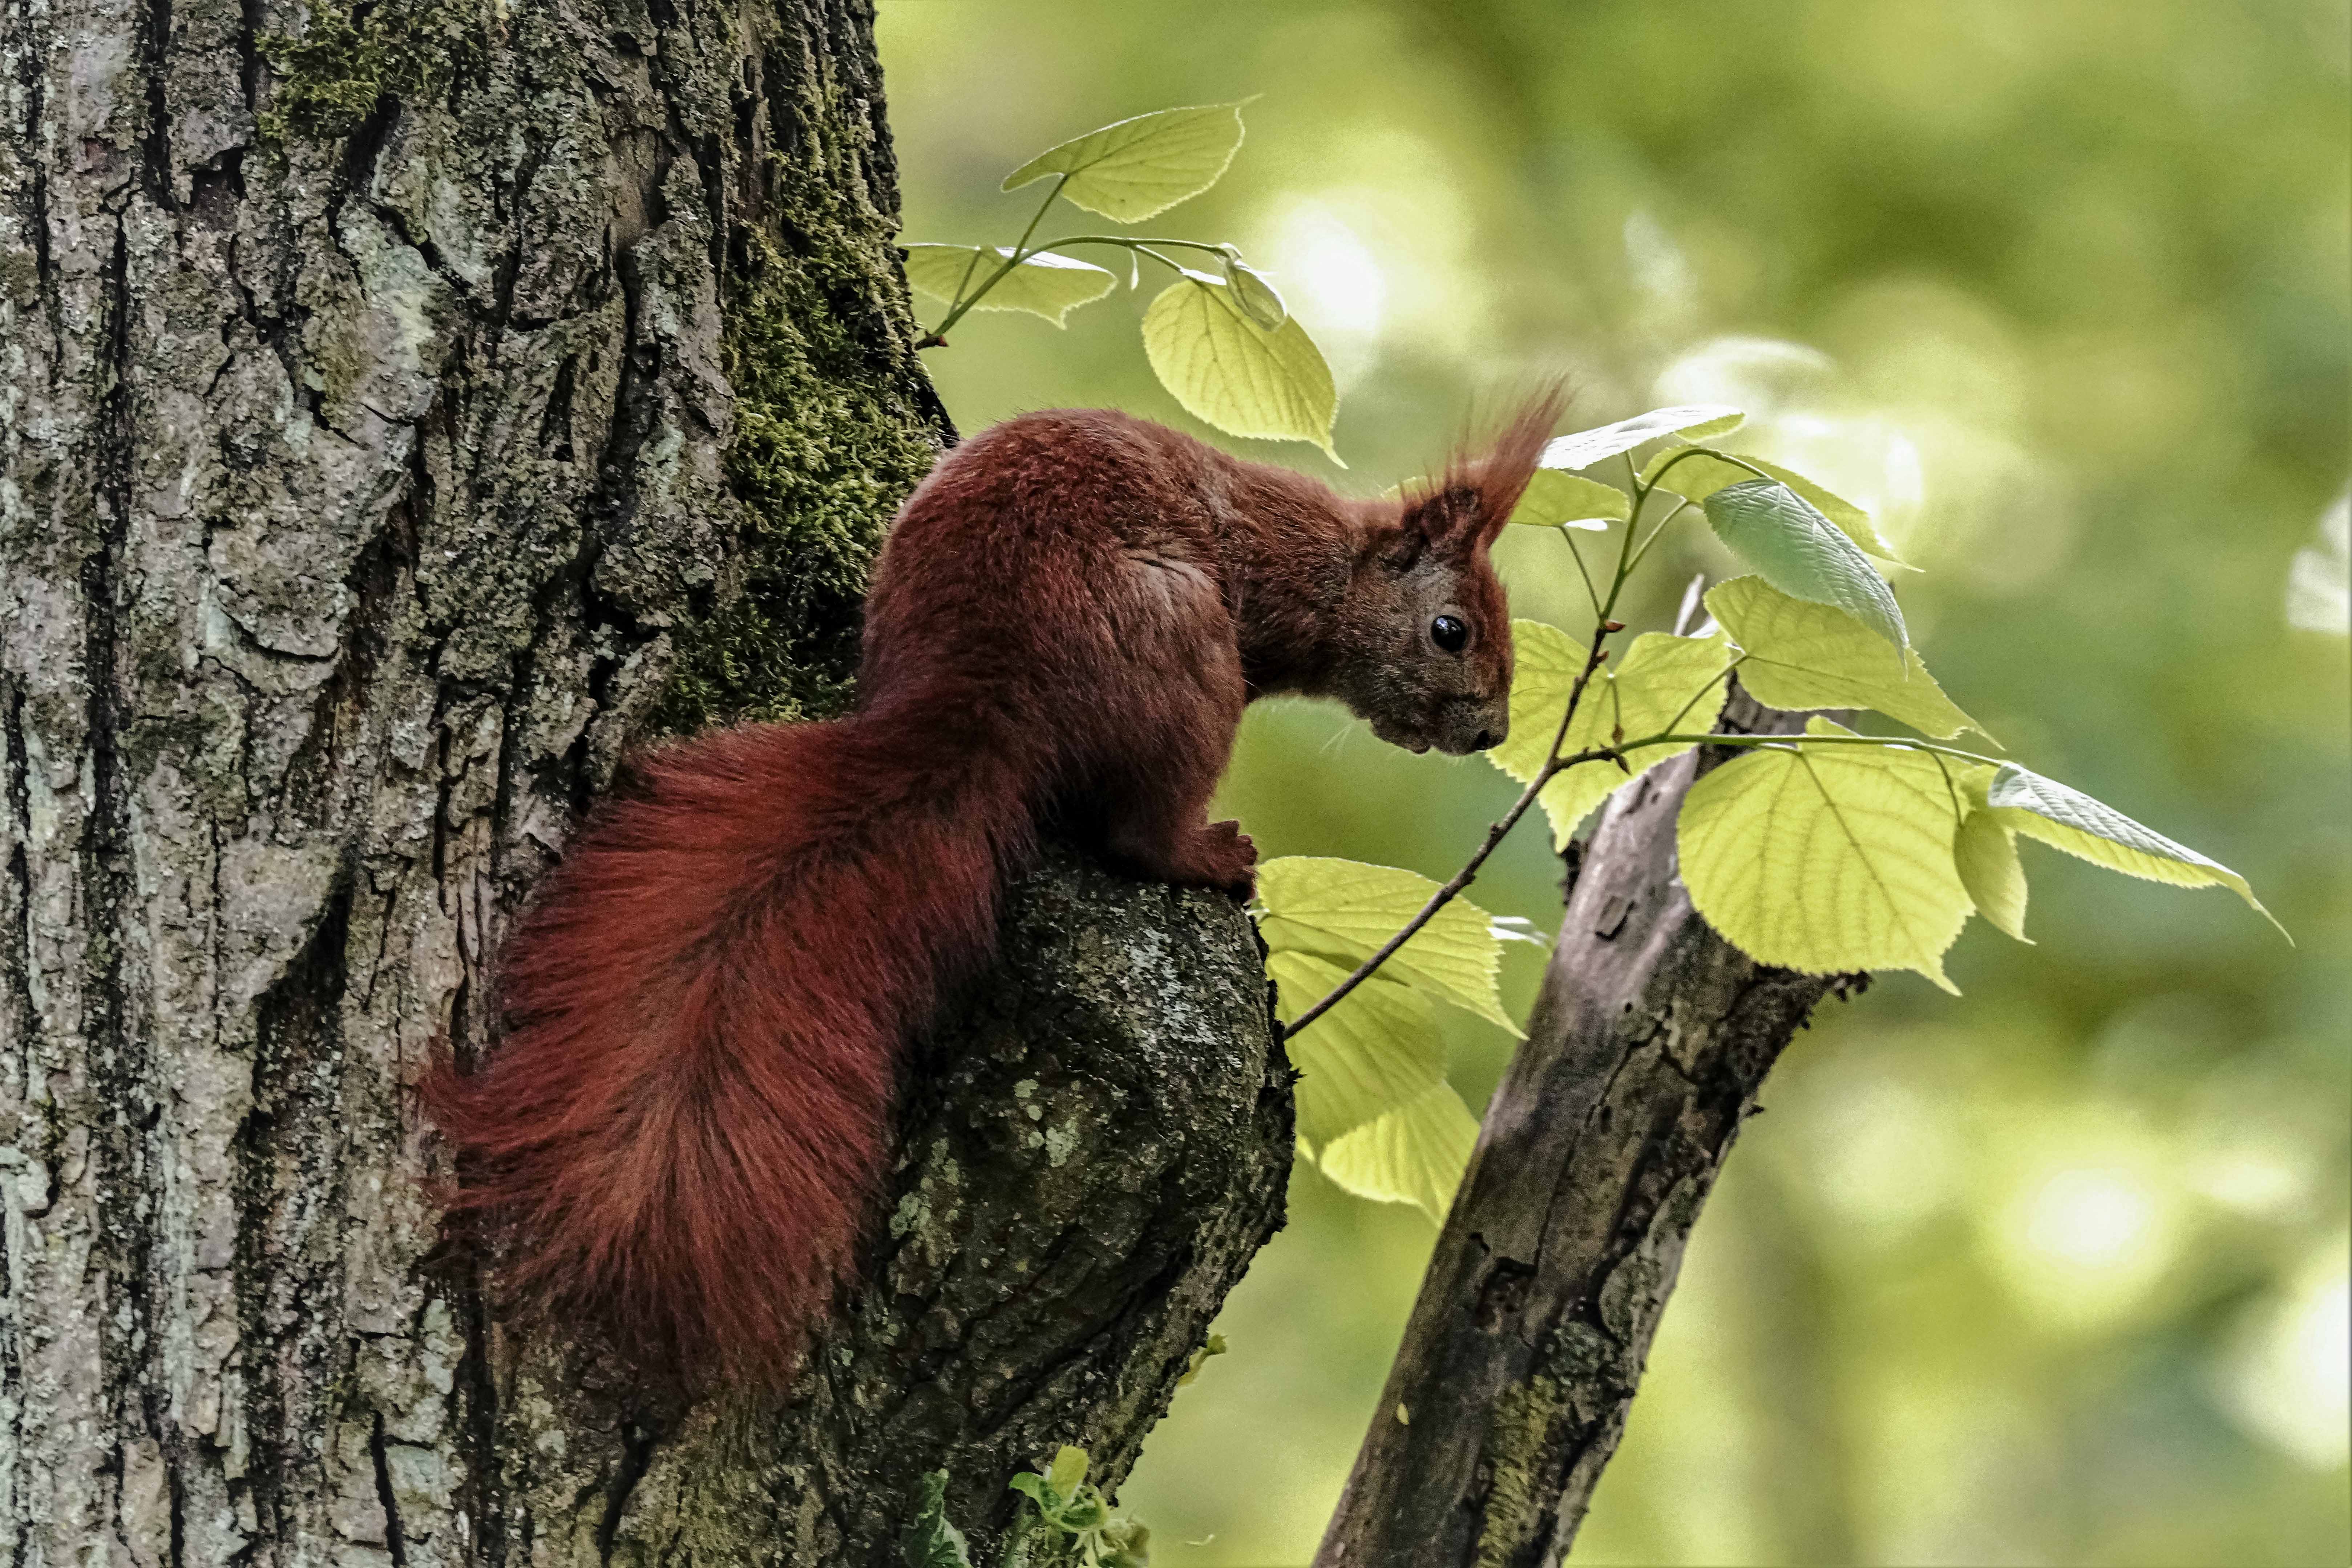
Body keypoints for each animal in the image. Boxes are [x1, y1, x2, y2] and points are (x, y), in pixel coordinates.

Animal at [423, 389, 1563, 1389]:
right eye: (1452, 630)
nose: (1490, 731)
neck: (1326, 563)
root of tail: (983, 691)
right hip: (1186, 654)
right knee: (1134, 828)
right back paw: (1206, 854)